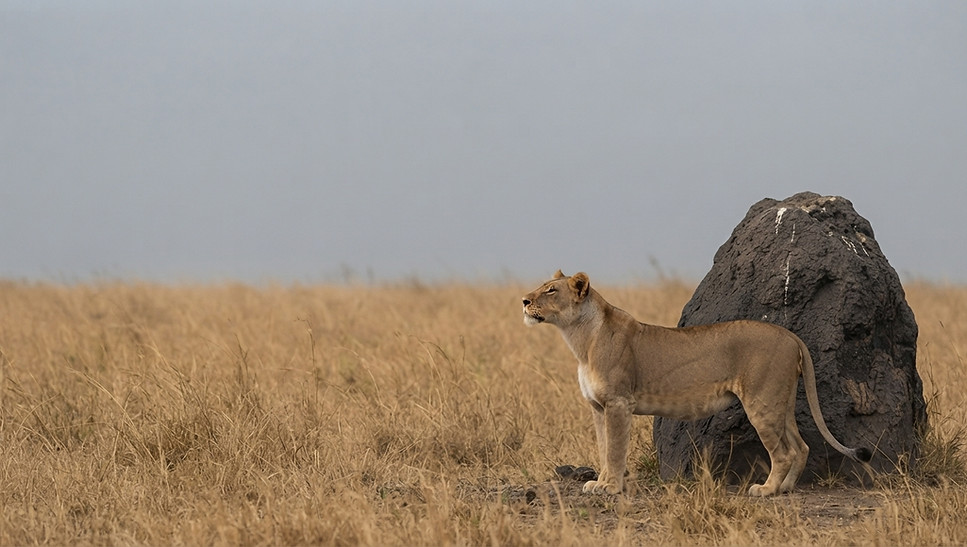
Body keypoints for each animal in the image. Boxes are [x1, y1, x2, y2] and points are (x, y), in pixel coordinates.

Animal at [522, 270, 872, 497]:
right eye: (542, 286)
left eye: (551, 290)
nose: (524, 300)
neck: (581, 339)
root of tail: (790, 335)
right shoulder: (598, 407)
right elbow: (604, 446)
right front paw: (600, 483)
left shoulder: (618, 403)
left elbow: (615, 449)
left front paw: (610, 487)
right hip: (779, 401)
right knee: (800, 446)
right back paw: (785, 488)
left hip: (761, 401)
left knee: (784, 452)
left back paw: (766, 490)